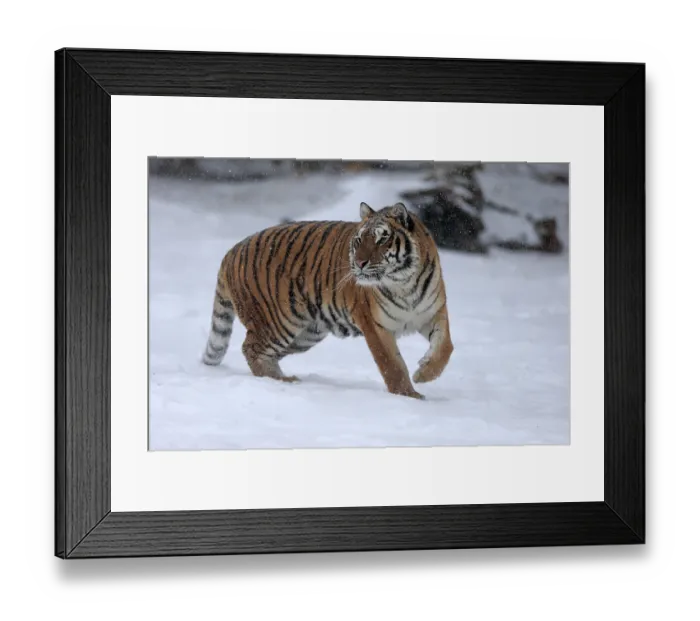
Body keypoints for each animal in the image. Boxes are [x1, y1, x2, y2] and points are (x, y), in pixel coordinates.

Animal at [201, 201, 454, 399]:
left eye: (382, 239)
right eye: (359, 240)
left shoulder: (434, 313)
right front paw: (408, 395)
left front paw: (424, 373)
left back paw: (283, 378)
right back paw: (282, 381)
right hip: (279, 322)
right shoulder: (374, 324)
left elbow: (445, 348)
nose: (360, 263)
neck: (403, 282)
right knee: (251, 348)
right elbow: (392, 364)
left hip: (305, 335)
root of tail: (232, 250)